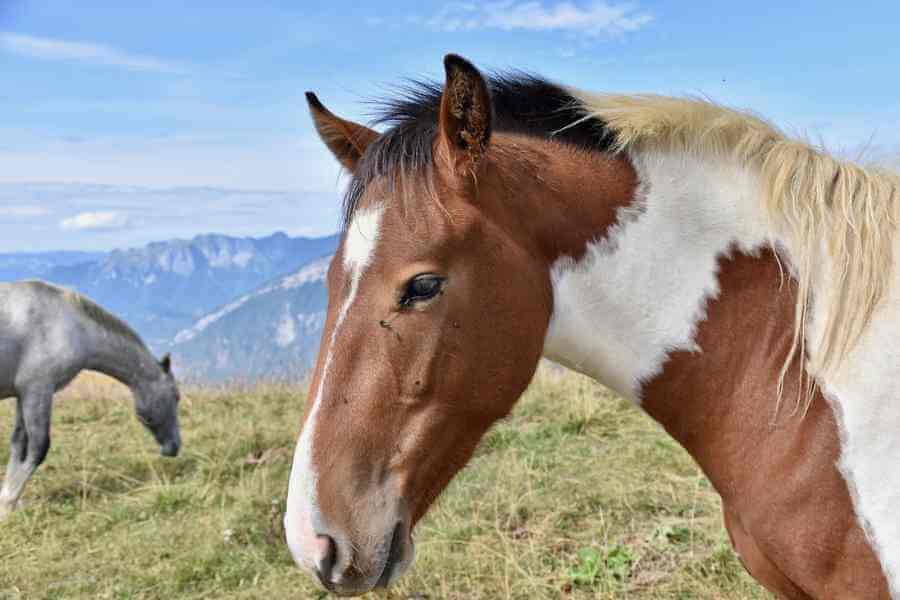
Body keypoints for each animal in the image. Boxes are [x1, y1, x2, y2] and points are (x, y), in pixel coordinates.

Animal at [0, 278, 181, 516]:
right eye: (176, 396)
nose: (174, 446)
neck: (70, 324)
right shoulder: (38, 389)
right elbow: (38, 447)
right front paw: (8, 503)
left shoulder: (24, 394)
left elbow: (18, 444)